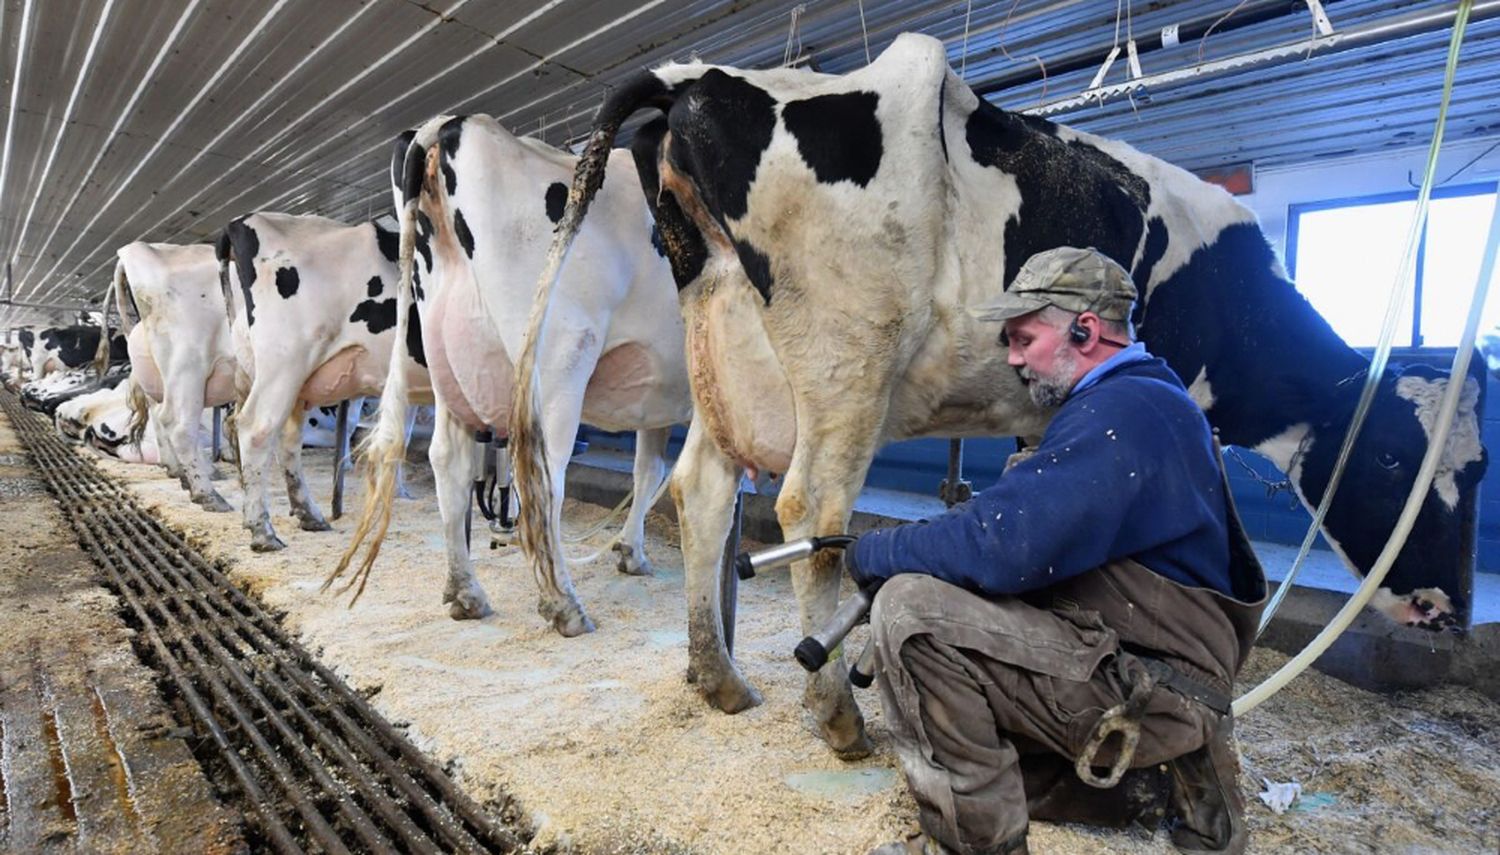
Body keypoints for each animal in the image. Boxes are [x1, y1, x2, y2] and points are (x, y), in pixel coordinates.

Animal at [216, 210, 435, 549]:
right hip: (285, 364)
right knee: (256, 428)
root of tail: (244, 220)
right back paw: (263, 531)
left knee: (286, 438)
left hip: (284, 377)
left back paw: (309, 515)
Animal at [519, 33, 1488, 753]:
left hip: (727, 362)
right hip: (848, 358)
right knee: (808, 510)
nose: (1449, 609)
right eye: (1395, 455)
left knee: (703, 492)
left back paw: (718, 678)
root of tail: (694, 78)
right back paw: (838, 717)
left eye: (1480, 469)